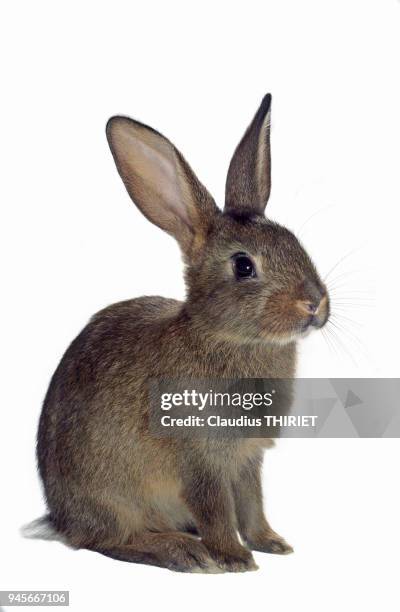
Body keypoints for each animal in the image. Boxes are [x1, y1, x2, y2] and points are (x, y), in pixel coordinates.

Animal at [36, 93, 332, 572]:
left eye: (295, 243)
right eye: (244, 266)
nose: (315, 304)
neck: (225, 336)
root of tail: (58, 516)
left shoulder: (247, 459)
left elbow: (252, 503)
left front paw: (271, 543)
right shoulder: (200, 459)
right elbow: (216, 509)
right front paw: (235, 559)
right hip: (111, 498)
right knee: (107, 540)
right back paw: (181, 550)